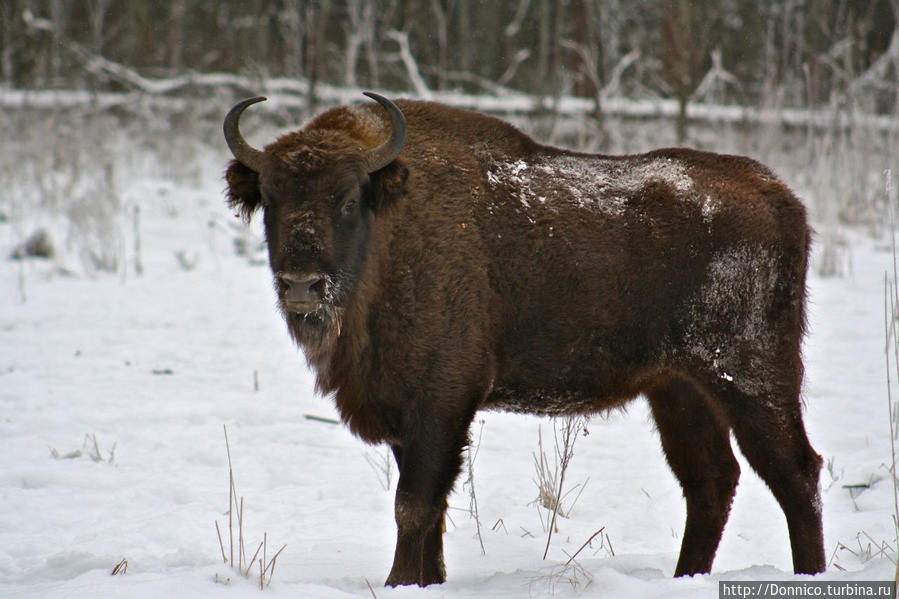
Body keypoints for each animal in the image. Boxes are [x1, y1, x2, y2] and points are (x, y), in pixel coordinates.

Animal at [223, 92, 824, 584]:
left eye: (348, 199)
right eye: (271, 199)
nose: (303, 285)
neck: (390, 227)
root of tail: (777, 195)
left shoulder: (442, 400)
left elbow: (413, 505)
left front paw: (399, 583)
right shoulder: (405, 410)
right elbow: (431, 509)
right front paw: (429, 580)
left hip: (751, 379)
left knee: (796, 473)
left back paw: (807, 574)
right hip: (679, 388)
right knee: (711, 482)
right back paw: (685, 577)